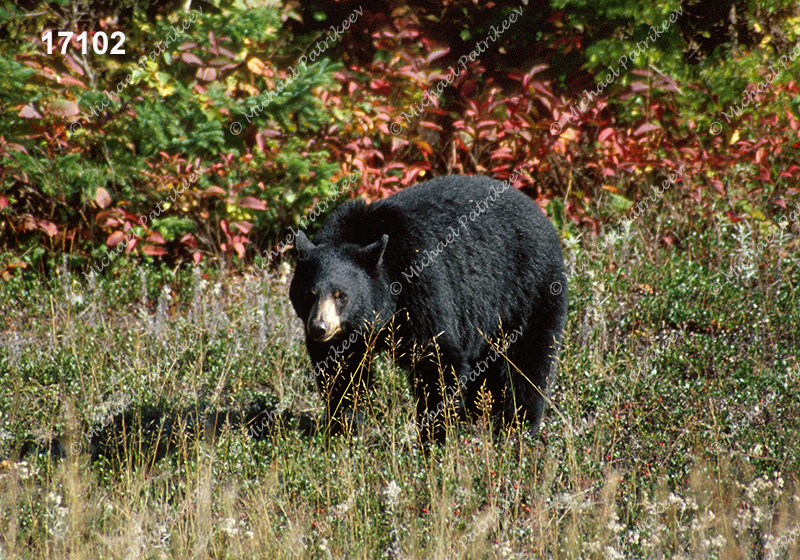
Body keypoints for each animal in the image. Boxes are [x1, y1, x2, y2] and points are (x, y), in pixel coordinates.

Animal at [290, 175, 564, 442]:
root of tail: (540, 213)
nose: (319, 328)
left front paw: (435, 438)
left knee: (528, 360)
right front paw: (343, 428)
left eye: (341, 295)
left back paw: (516, 427)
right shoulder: (346, 334)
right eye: (308, 294)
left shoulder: (421, 285)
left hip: (529, 289)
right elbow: (341, 370)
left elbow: (437, 359)